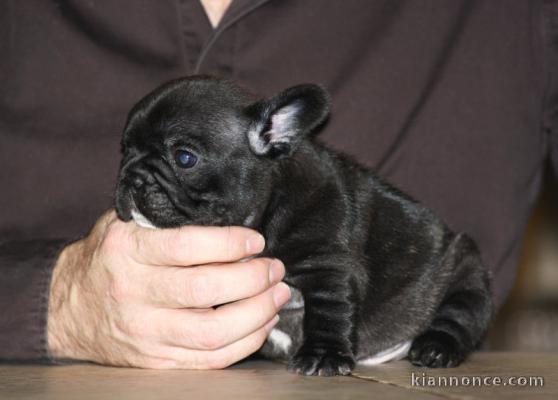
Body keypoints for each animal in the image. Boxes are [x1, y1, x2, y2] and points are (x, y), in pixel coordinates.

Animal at [115, 74, 494, 376]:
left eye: (184, 157)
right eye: (124, 151)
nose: (132, 177)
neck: (265, 213)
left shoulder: (327, 267)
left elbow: (328, 312)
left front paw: (323, 356)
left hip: (465, 269)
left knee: (459, 315)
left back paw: (436, 348)